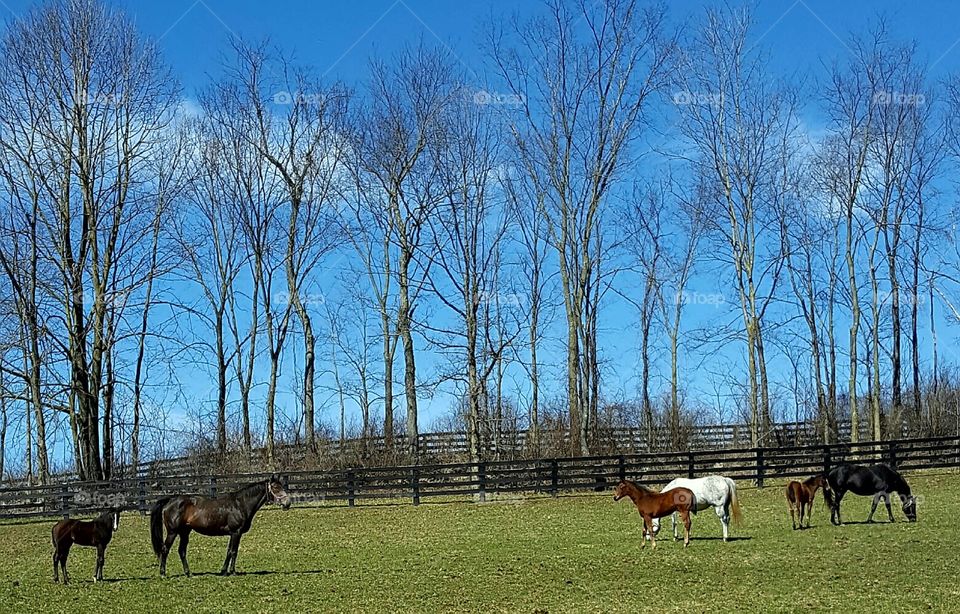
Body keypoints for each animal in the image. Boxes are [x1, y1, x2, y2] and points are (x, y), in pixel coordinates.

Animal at [150, 476, 290, 576]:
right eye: (275, 487)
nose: (287, 503)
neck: (240, 504)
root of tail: (170, 500)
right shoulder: (236, 532)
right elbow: (233, 552)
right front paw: (232, 572)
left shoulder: (234, 534)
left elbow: (229, 551)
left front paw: (224, 571)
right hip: (172, 532)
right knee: (165, 549)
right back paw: (163, 573)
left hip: (185, 532)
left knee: (181, 551)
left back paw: (188, 573)